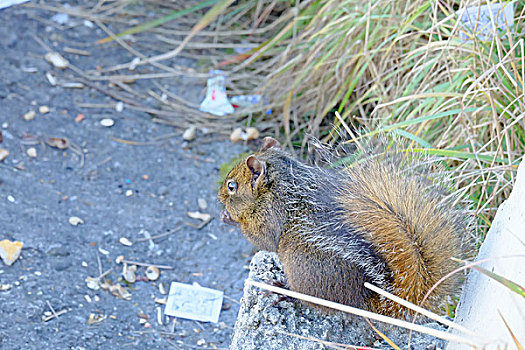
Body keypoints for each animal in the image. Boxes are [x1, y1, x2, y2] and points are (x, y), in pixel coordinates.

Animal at [217, 136, 466, 318]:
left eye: (232, 186)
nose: (219, 196)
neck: (284, 183)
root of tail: (362, 303)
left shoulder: (271, 216)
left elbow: (263, 240)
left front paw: (228, 216)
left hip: (304, 271)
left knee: (308, 299)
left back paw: (282, 290)